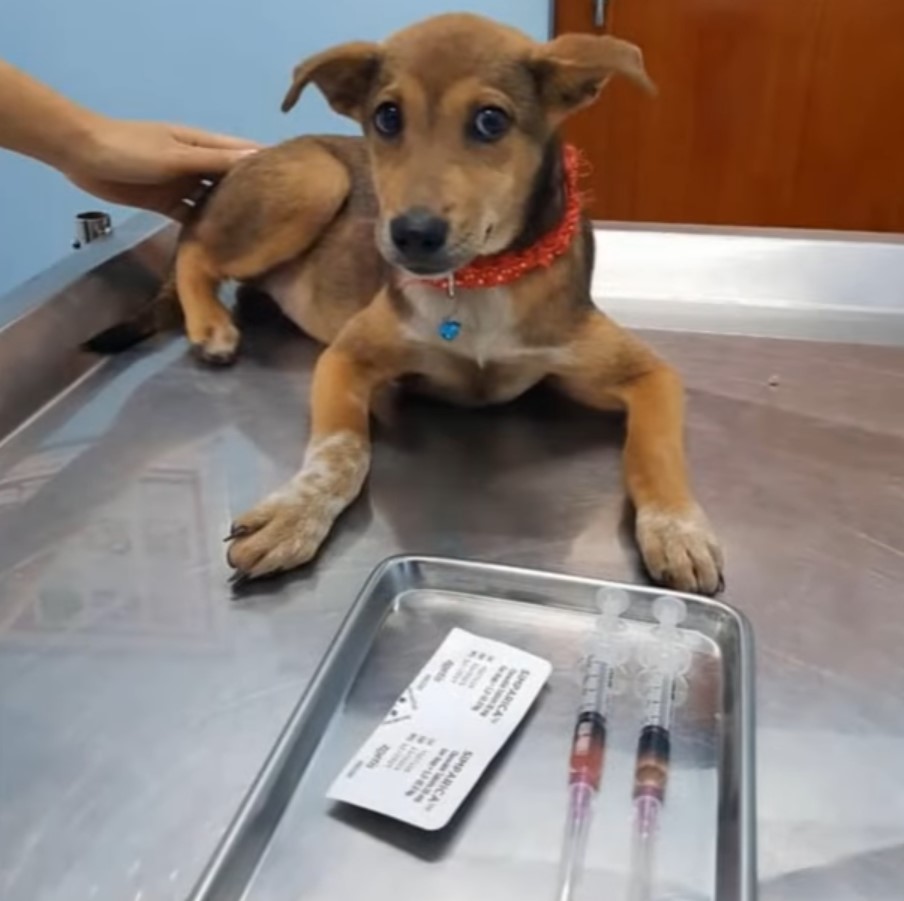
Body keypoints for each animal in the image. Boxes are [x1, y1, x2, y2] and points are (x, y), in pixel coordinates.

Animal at [173, 15, 724, 592]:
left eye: (490, 120)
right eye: (387, 116)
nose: (412, 234)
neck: (478, 281)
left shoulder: (645, 373)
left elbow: (654, 448)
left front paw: (676, 529)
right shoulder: (346, 356)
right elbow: (339, 450)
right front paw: (293, 514)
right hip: (316, 179)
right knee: (192, 245)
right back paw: (211, 326)